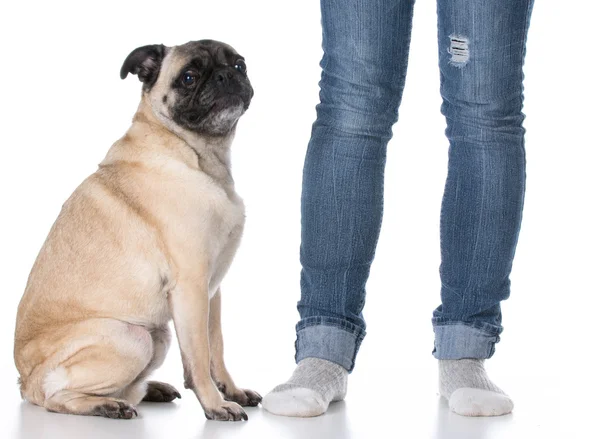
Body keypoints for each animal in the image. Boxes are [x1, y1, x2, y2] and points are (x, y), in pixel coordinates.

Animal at [14, 41, 260, 422]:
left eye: (239, 65)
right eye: (189, 77)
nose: (225, 76)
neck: (200, 155)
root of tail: (24, 381)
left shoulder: (212, 291)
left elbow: (216, 346)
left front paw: (231, 390)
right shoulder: (191, 287)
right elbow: (199, 356)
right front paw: (215, 404)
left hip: (158, 336)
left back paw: (150, 389)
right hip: (134, 337)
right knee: (54, 397)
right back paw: (106, 404)